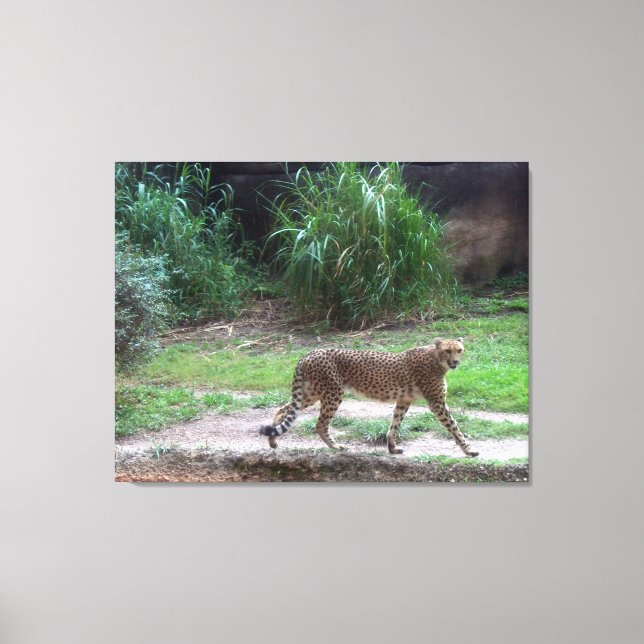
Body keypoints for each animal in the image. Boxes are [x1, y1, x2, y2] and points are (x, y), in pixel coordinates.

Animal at [259, 337, 478, 457]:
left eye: (459, 350)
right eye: (447, 350)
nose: (455, 362)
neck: (435, 359)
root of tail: (310, 353)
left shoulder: (404, 400)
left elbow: (394, 424)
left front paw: (392, 448)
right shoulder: (437, 403)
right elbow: (454, 427)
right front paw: (469, 450)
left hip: (311, 393)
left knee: (284, 409)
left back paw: (273, 440)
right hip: (332, 393)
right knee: (319, 424)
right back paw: (335, 446)